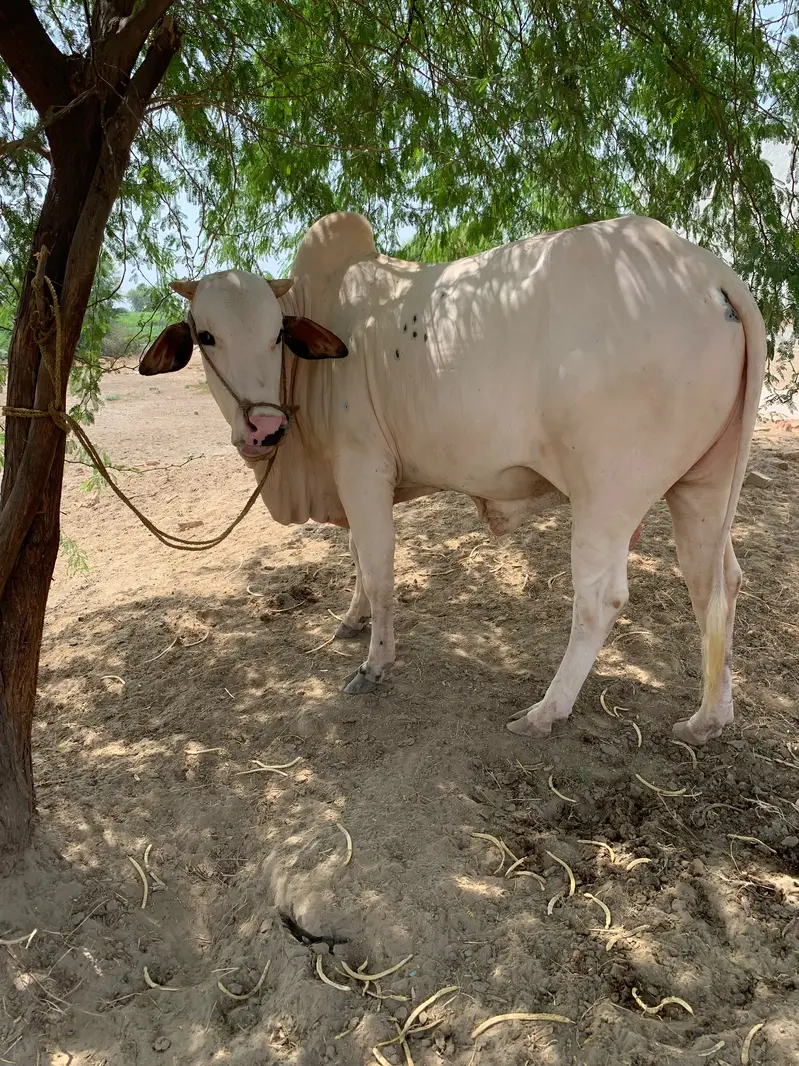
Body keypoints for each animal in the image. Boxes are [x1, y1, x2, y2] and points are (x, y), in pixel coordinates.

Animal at [139, 212, 766, 746]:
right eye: (206, 336)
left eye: (276, 336)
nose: (264, 429)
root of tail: (709, 272)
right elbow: (359, 558)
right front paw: (351, 619)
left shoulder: (362, 468)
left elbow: (380, 570)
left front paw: (375, 663)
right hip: (701, 489)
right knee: (715, 585)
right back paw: (707, 719)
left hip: (607, 495)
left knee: (600, 601)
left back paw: (546, 711)